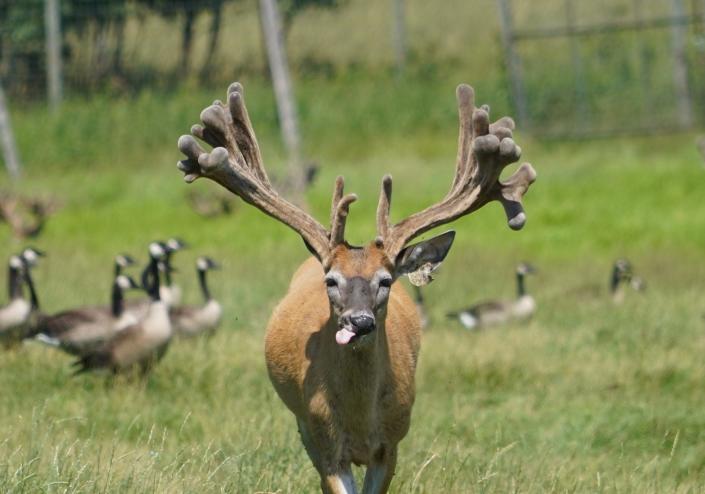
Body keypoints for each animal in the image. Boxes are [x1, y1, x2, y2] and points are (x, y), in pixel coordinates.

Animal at [176, 83, 532, 492]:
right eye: (331, 280)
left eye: (386, 280)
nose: (359, 322)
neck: (361, 420)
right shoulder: (324, 439)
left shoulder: (392, 442)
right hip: (303, 424)